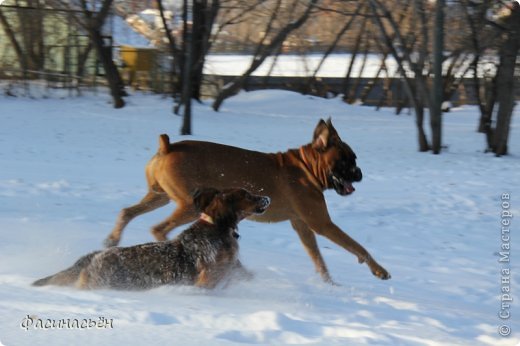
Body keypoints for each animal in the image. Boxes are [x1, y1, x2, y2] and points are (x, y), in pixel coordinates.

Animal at [104, 118, 390, 282]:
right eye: (347, 160)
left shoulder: (303, 226)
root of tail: (168, 146)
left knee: (127, 211)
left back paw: (112, 239)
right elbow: (357, 246)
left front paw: (328, 284)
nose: (360, 173)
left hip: (159, 196)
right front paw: (378, 270)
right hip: (187, 205)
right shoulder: (322, 224)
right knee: (159, 228)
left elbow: (318, 258)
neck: (306, 167)